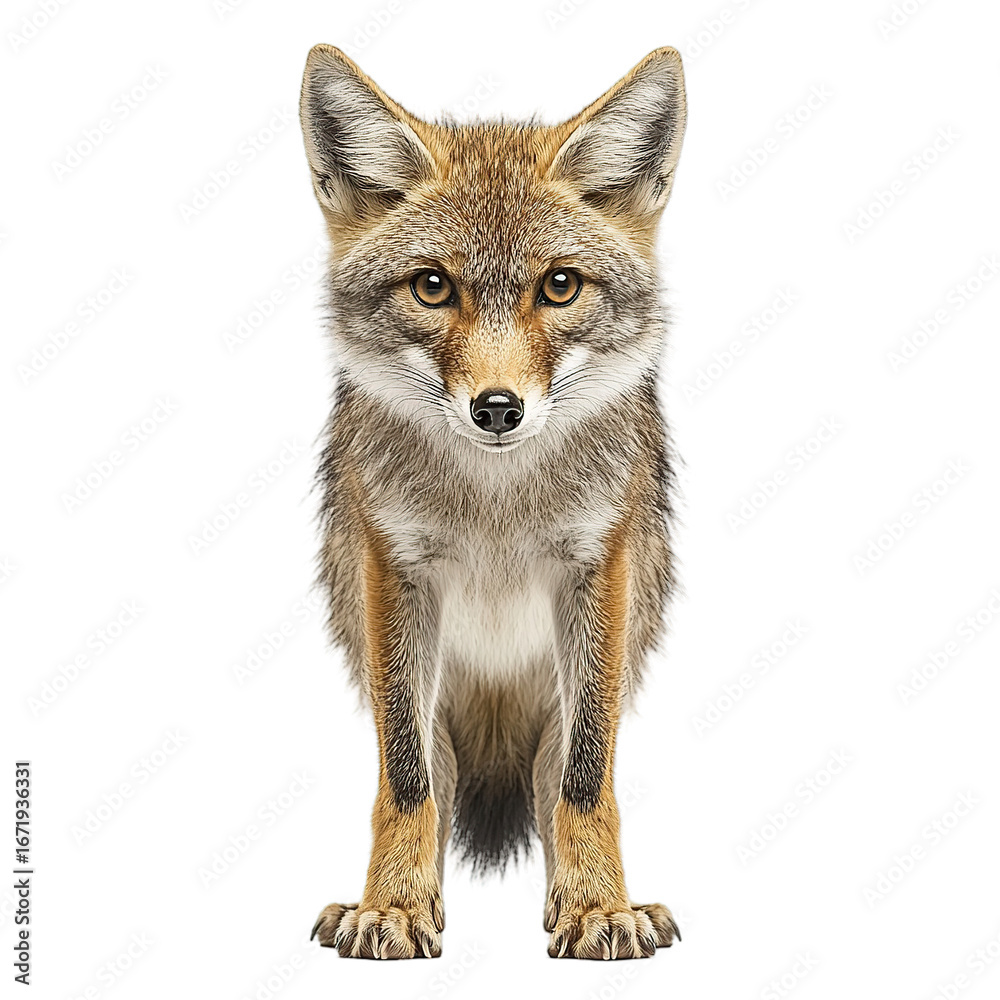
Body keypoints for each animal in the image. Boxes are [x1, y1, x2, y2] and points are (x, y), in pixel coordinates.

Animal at [300, 44, 687, 960]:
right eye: (433, 287)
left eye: (560, 286)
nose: (498, 409)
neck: (496, 511)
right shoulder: (396, 567)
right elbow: (408, 781)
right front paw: (395, 906)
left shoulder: (597, 566)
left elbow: (583, 779)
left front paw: (597, 906)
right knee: (435, 773)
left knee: (551, 776)